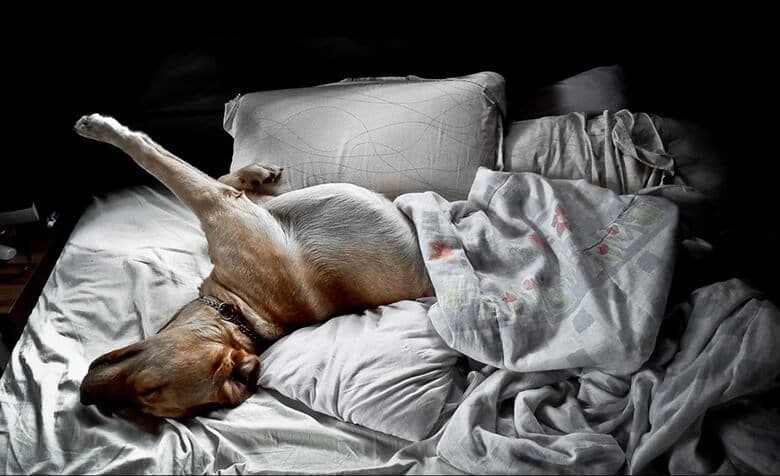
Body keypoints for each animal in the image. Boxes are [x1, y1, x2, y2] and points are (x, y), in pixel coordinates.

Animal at [74, 113, 432, 418]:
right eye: (145, 407)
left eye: (147, 392)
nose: (84, 396)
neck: (240, 310)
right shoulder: (247, 204)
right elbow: (226, 177)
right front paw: (258, 173)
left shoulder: (216, 202)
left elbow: (151, 154)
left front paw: (100, 127)